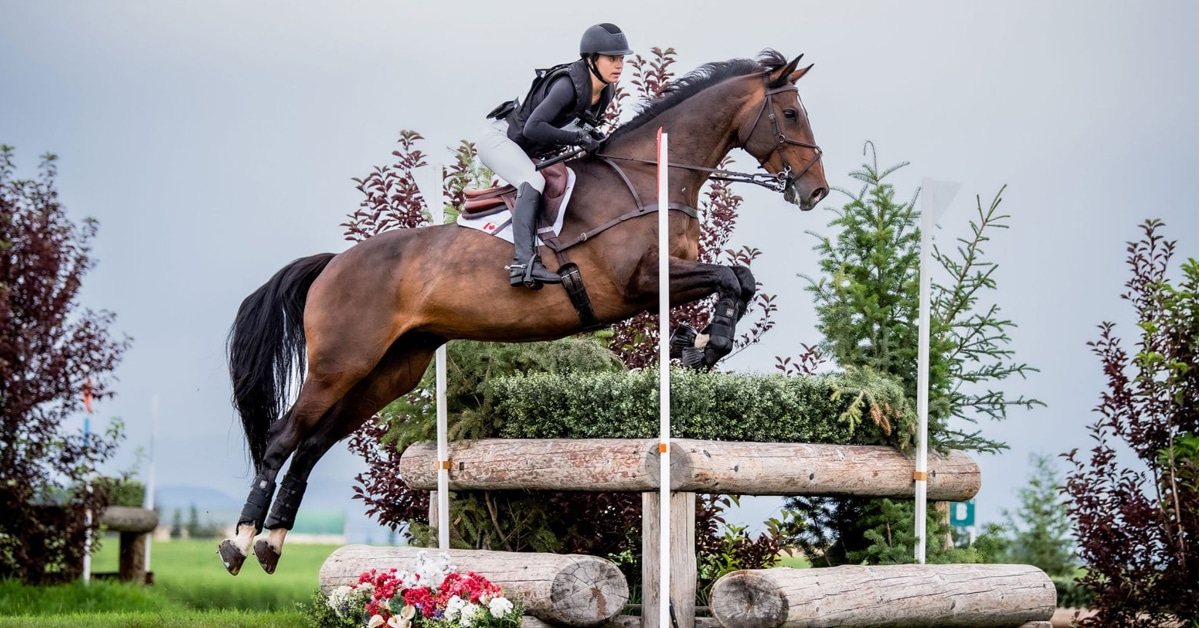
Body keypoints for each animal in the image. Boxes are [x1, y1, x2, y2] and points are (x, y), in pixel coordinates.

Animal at [218, 49, 828, 575]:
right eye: (791, 114)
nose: (816, 191)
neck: (649, 175)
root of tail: (333, 264)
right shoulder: (640, 280)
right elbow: (731, 275)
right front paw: (701, 342)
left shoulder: (668, 277)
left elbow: (740, 279)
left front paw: (699, 343)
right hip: (341, 362)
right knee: (282, 437)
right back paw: (240, 542)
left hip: (392, 367)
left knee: (313, 444)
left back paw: (272, 543)